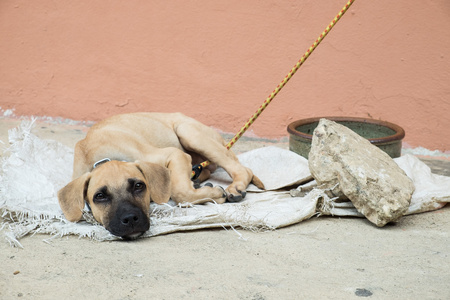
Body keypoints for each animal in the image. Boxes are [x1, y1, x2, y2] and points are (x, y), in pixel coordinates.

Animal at [58, 112, 266, 239]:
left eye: (138, 186)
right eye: (99, 196)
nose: (130, 219)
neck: (102, 157)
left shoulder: (174, 154)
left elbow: (180, 192)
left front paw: (215, 194)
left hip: (189, 133)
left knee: (242, 169)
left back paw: (235, 187)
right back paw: (197, 180)